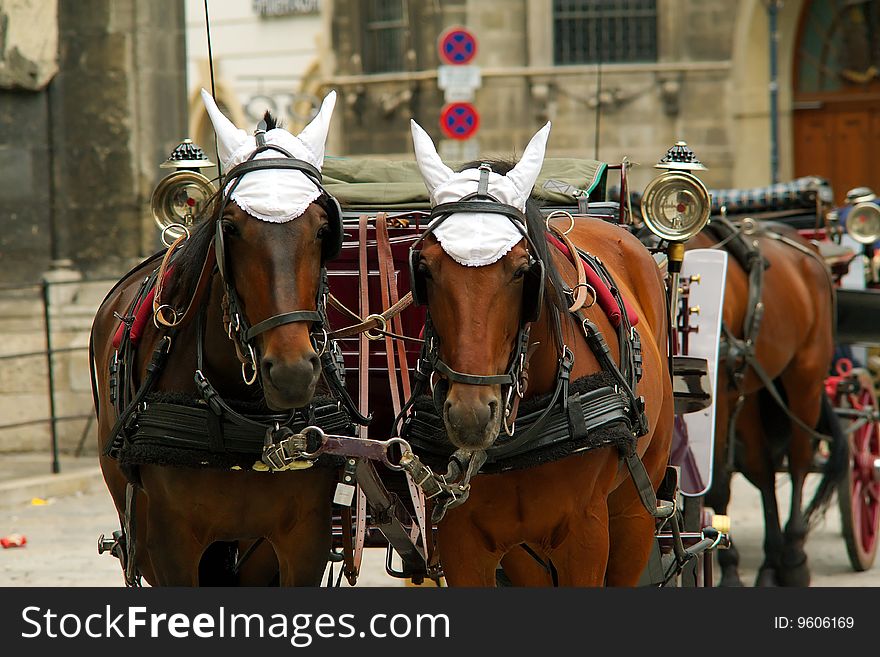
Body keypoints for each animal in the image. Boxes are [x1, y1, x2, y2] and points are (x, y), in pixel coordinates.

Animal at [400, 119, 672, 584]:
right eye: (426, 268)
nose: (471, 415)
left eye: (522, 272)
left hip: (636, 510)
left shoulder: (586, 537)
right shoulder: (461, 540)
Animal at [692, 223, 848, 588]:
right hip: (750, 392)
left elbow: (717, 484)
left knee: (799, 459)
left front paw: (729, 572)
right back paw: (769, 564)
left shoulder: (715, 400)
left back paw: (792, 558)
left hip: (805, 379)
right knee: (762, 466)